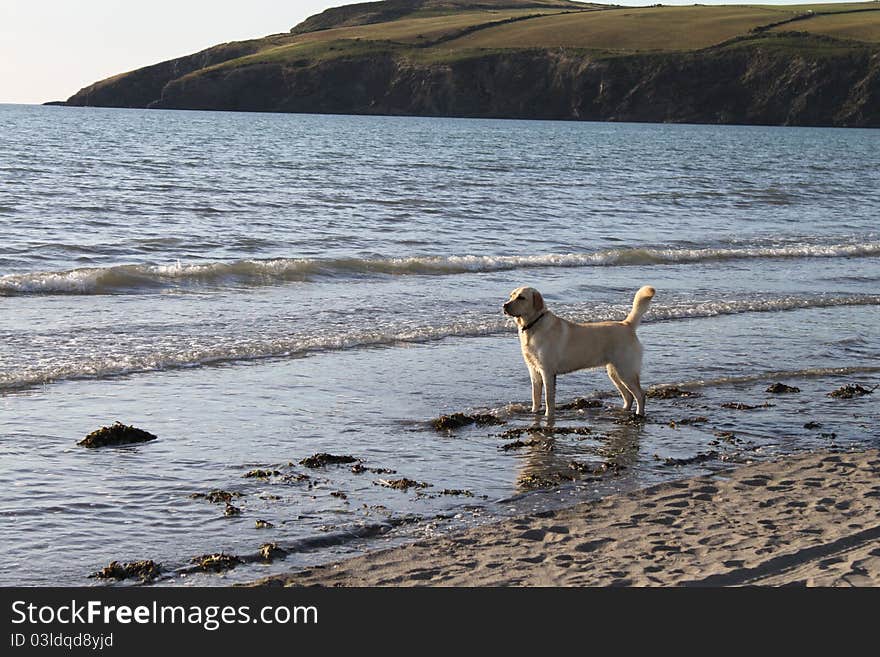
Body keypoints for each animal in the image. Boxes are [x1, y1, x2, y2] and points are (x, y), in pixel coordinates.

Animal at [506, 286, 656, 420]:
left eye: (521, 297)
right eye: (511, 296)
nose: (504, 305)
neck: (533, 326)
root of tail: (626, 324)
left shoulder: (547, 371)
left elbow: (549, 398)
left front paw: (548, 416)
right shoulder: (534, 371)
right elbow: (535, 396)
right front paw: (534, 412)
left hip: (626, 371)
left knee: (640, 394)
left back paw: (639, 415)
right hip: (614, 372)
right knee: (628, 396)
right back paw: (622, 411)